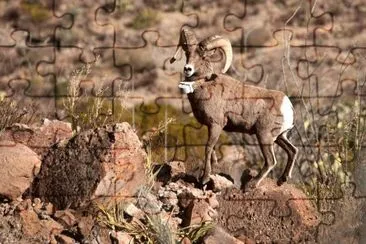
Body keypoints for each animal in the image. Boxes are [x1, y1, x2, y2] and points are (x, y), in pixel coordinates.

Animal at [170, 28, 298, 187]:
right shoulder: (211, 127)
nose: (188, 69)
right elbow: (212, 151)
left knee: (270, 161)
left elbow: (208, 148)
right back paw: (282, 180)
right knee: (293, 151)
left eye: (203, 57)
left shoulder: (216, 125)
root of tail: (287, 104)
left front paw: (204, 179)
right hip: (280, 137)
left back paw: (251, 185)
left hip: (264, 136)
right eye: (187, 53)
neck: (204, 86)